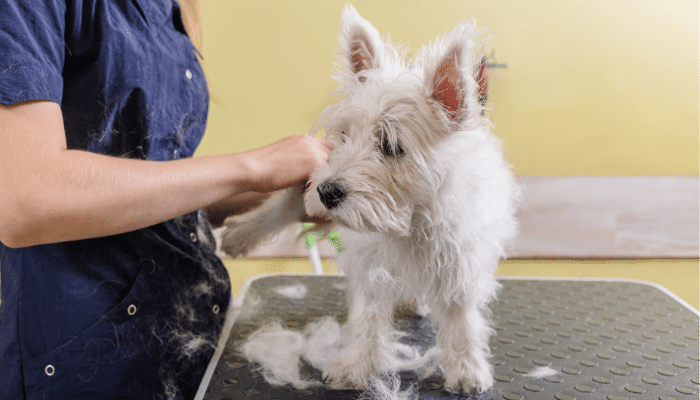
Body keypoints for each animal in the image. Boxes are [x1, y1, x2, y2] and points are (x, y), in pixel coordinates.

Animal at [221, 4, 516, 396]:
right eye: (344, 136)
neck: (408, 219)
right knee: (284, 204)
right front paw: (356, 365)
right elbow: (368, 318)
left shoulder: (460, 264)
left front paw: (467, 369)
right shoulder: (370, 265)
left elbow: (462, 320)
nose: (327, 191)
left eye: (391, 145)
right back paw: (240, 235)